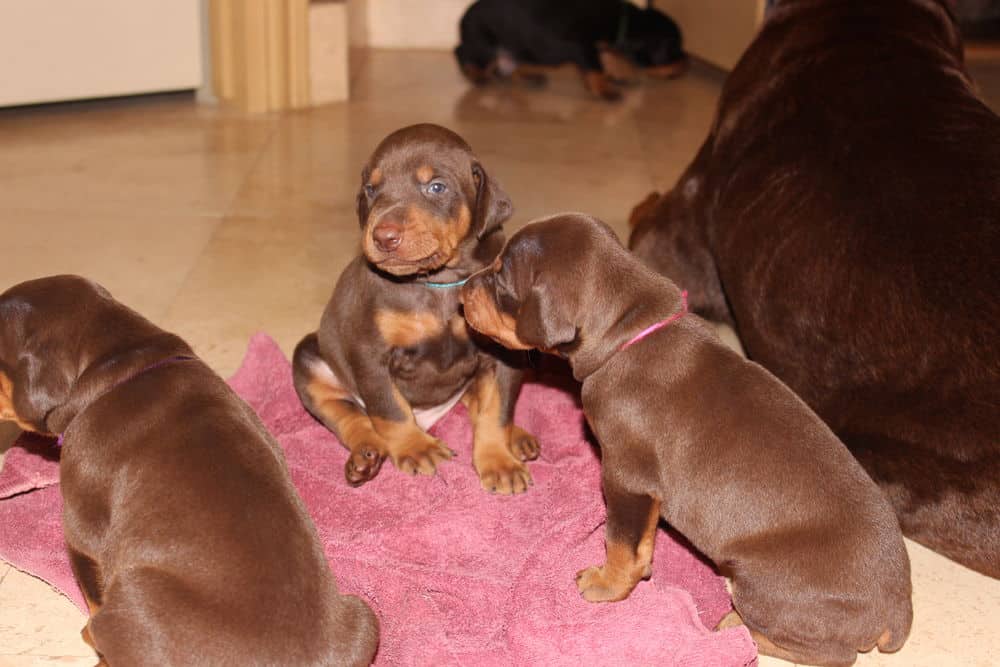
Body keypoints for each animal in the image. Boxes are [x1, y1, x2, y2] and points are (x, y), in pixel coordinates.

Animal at [292, 122, 540, 494]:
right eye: (371, 189)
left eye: (436, 187)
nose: (383, 236)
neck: (438, 283)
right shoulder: (370, 353)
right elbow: (390, 409)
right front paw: (415, 447)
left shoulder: (501, 355)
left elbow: (496, 411)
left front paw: (499, 461)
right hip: (309, 357)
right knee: (349, 415)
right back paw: (365, 457)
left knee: (474, 401)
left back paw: (518, 438)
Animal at [456, 0, 684, 100]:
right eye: (673, 49)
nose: (685, 64)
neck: (624, 21)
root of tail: (462, 18)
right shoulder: (583, 46)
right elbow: (596, 69)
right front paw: (605, 90)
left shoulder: (597, 46)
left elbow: (607, 60)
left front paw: (618, 77)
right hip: (483, 46)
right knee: (463, 54)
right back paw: (477, 76)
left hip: (518, 49)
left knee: (508, 67)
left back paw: (530, 76)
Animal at [460, 215, 916, 667]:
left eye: (501, 277)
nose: (462, 289)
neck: (628, 333)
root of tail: (896, 608)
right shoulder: (646, 493)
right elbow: (642, 540)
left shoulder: (625, 476)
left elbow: (619, 542)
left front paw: (605, 584)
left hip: (765, 584)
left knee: (832, 653)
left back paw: (738, 626)